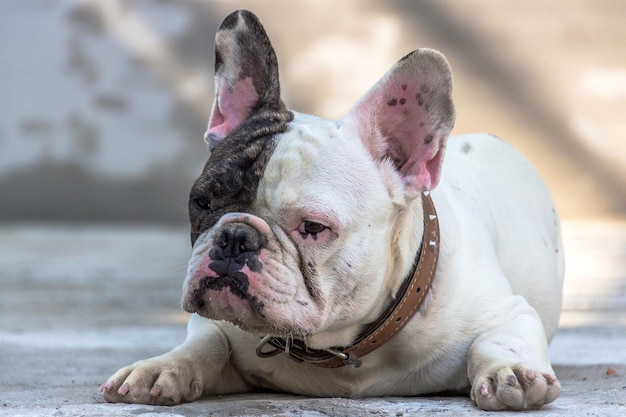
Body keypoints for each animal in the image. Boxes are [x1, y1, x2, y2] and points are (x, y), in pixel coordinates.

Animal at [100, 9, 564, 410]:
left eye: (312, 227)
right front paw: (160, 368)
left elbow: (495, 339)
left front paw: (510, 372)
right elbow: (205, 341)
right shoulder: (216, 324)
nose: (235, 237)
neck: (344, 346)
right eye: (202, 203)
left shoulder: (510, 312)